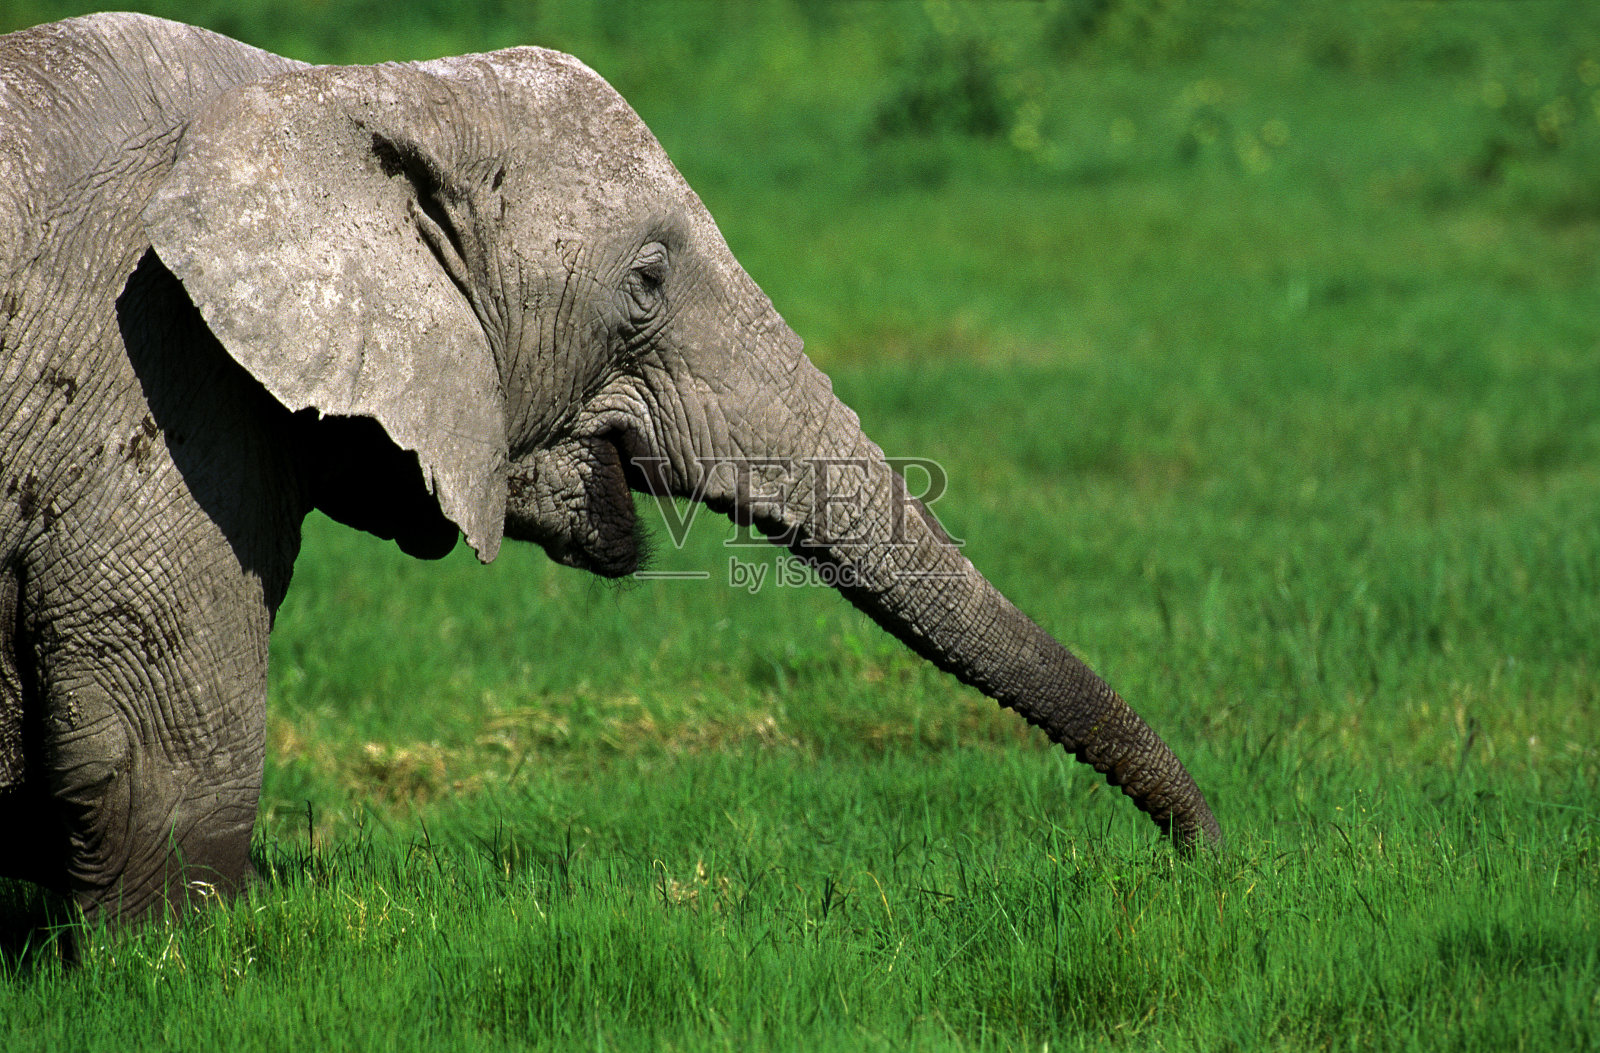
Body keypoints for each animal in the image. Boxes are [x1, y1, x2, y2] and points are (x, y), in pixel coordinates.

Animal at [0, 13, 1221, 924]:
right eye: (643, 284)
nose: (1205, 858)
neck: (326, 99)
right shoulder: (152, 376)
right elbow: (161, 765)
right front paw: (171, 972)